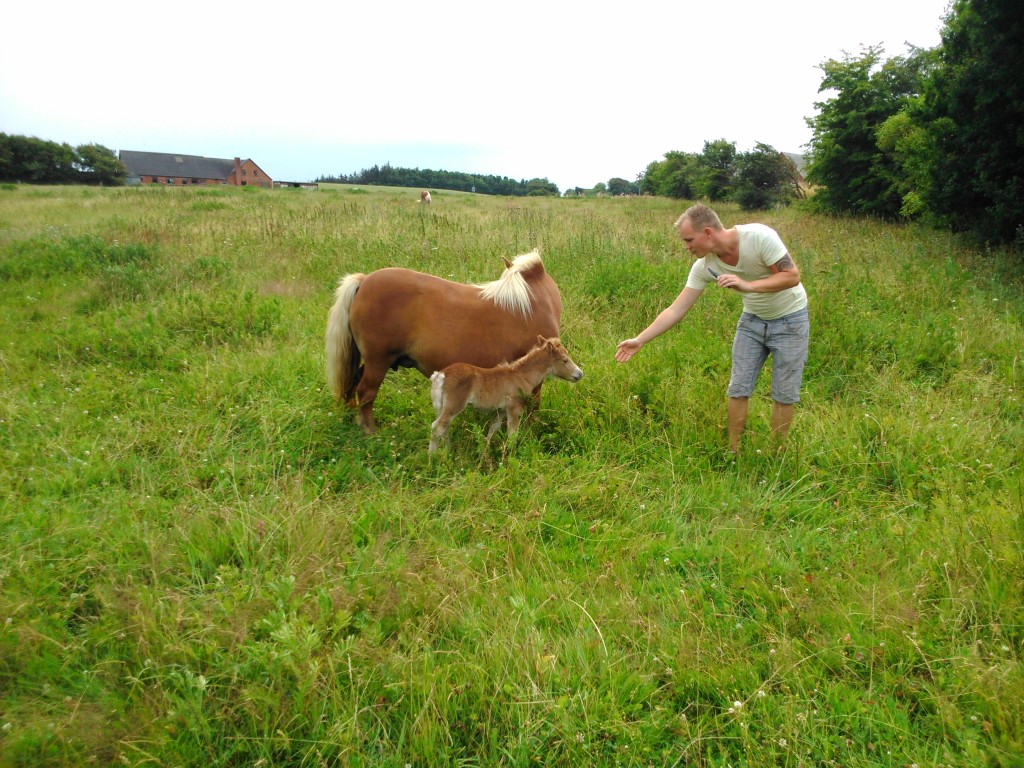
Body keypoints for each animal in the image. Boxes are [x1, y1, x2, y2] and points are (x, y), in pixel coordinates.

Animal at [325, 250, 561, 434]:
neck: (534, 299)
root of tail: (364, 281)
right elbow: (533, 402)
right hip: (378, 361)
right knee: (366, 392)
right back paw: (370, 430)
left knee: (353, 382)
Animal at [425, 335, 585, 454]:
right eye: (565, 360)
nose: (580, 374)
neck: (521, 376)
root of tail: (440, 375)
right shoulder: (514, 409)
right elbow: (512, 434)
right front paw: (511, 456)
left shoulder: (500, 411)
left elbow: (492, 430)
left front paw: (485, 452)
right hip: (454, 405)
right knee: (437, 427)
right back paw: (432, 459)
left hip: (441, 406)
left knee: (444, 427)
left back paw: (448, 452)